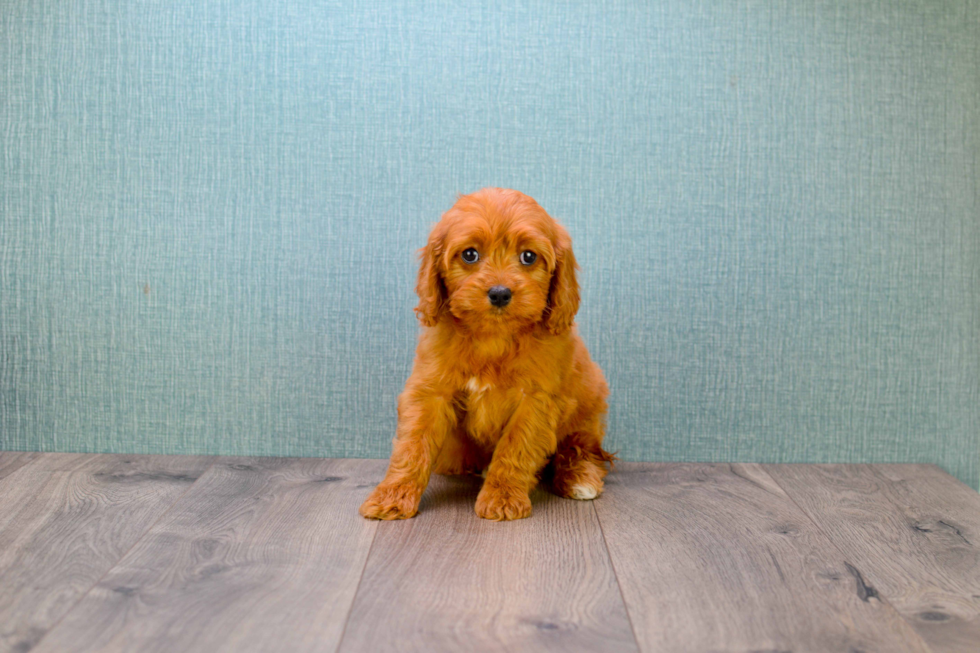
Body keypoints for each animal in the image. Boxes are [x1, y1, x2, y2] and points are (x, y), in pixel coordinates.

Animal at [358, 187, 612, 520]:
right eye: (470, 254)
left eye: (528, 256)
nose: (500, 293)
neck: (493, 337)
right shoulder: (430, 391)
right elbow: (412, 445)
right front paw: (392, 495)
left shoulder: (536, 400)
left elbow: (516, 446)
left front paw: (502, 497)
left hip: (589, 408)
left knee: (584, 449)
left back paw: (580, 478)